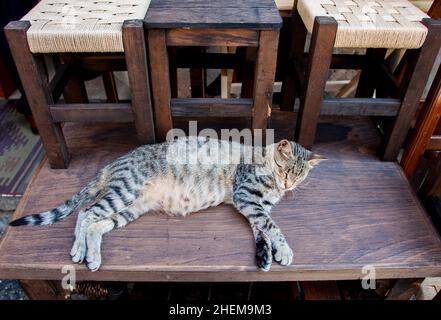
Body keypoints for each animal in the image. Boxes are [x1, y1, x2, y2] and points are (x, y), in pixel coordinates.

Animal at [9, 138, 324, 272]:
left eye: (299, 176)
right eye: (284, 170)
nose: (288, 186)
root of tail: (113, 162)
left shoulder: (253, 207)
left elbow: (262, 231)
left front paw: (266, 254)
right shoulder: (246, 197)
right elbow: (273, 227)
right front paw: (285, 250)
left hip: (129, 208)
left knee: (96, 224)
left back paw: (92, 255)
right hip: (124, 191)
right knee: (85, 214)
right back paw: (79, 250)